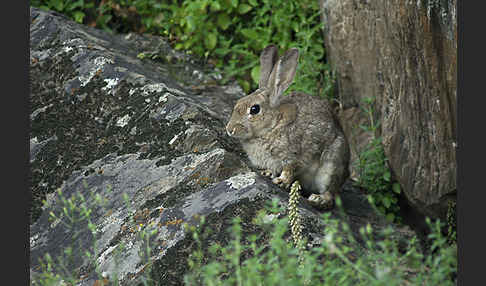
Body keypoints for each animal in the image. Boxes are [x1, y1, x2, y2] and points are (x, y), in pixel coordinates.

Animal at [226, 44, 348, 210]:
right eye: (238, 103)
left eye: (254, 109)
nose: (229, 129)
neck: (273, 126)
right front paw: (267, 174)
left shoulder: (296, 157)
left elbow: (290, 169)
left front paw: (281, 181)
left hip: (331, 165)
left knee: (331, 195)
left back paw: (318, 199)